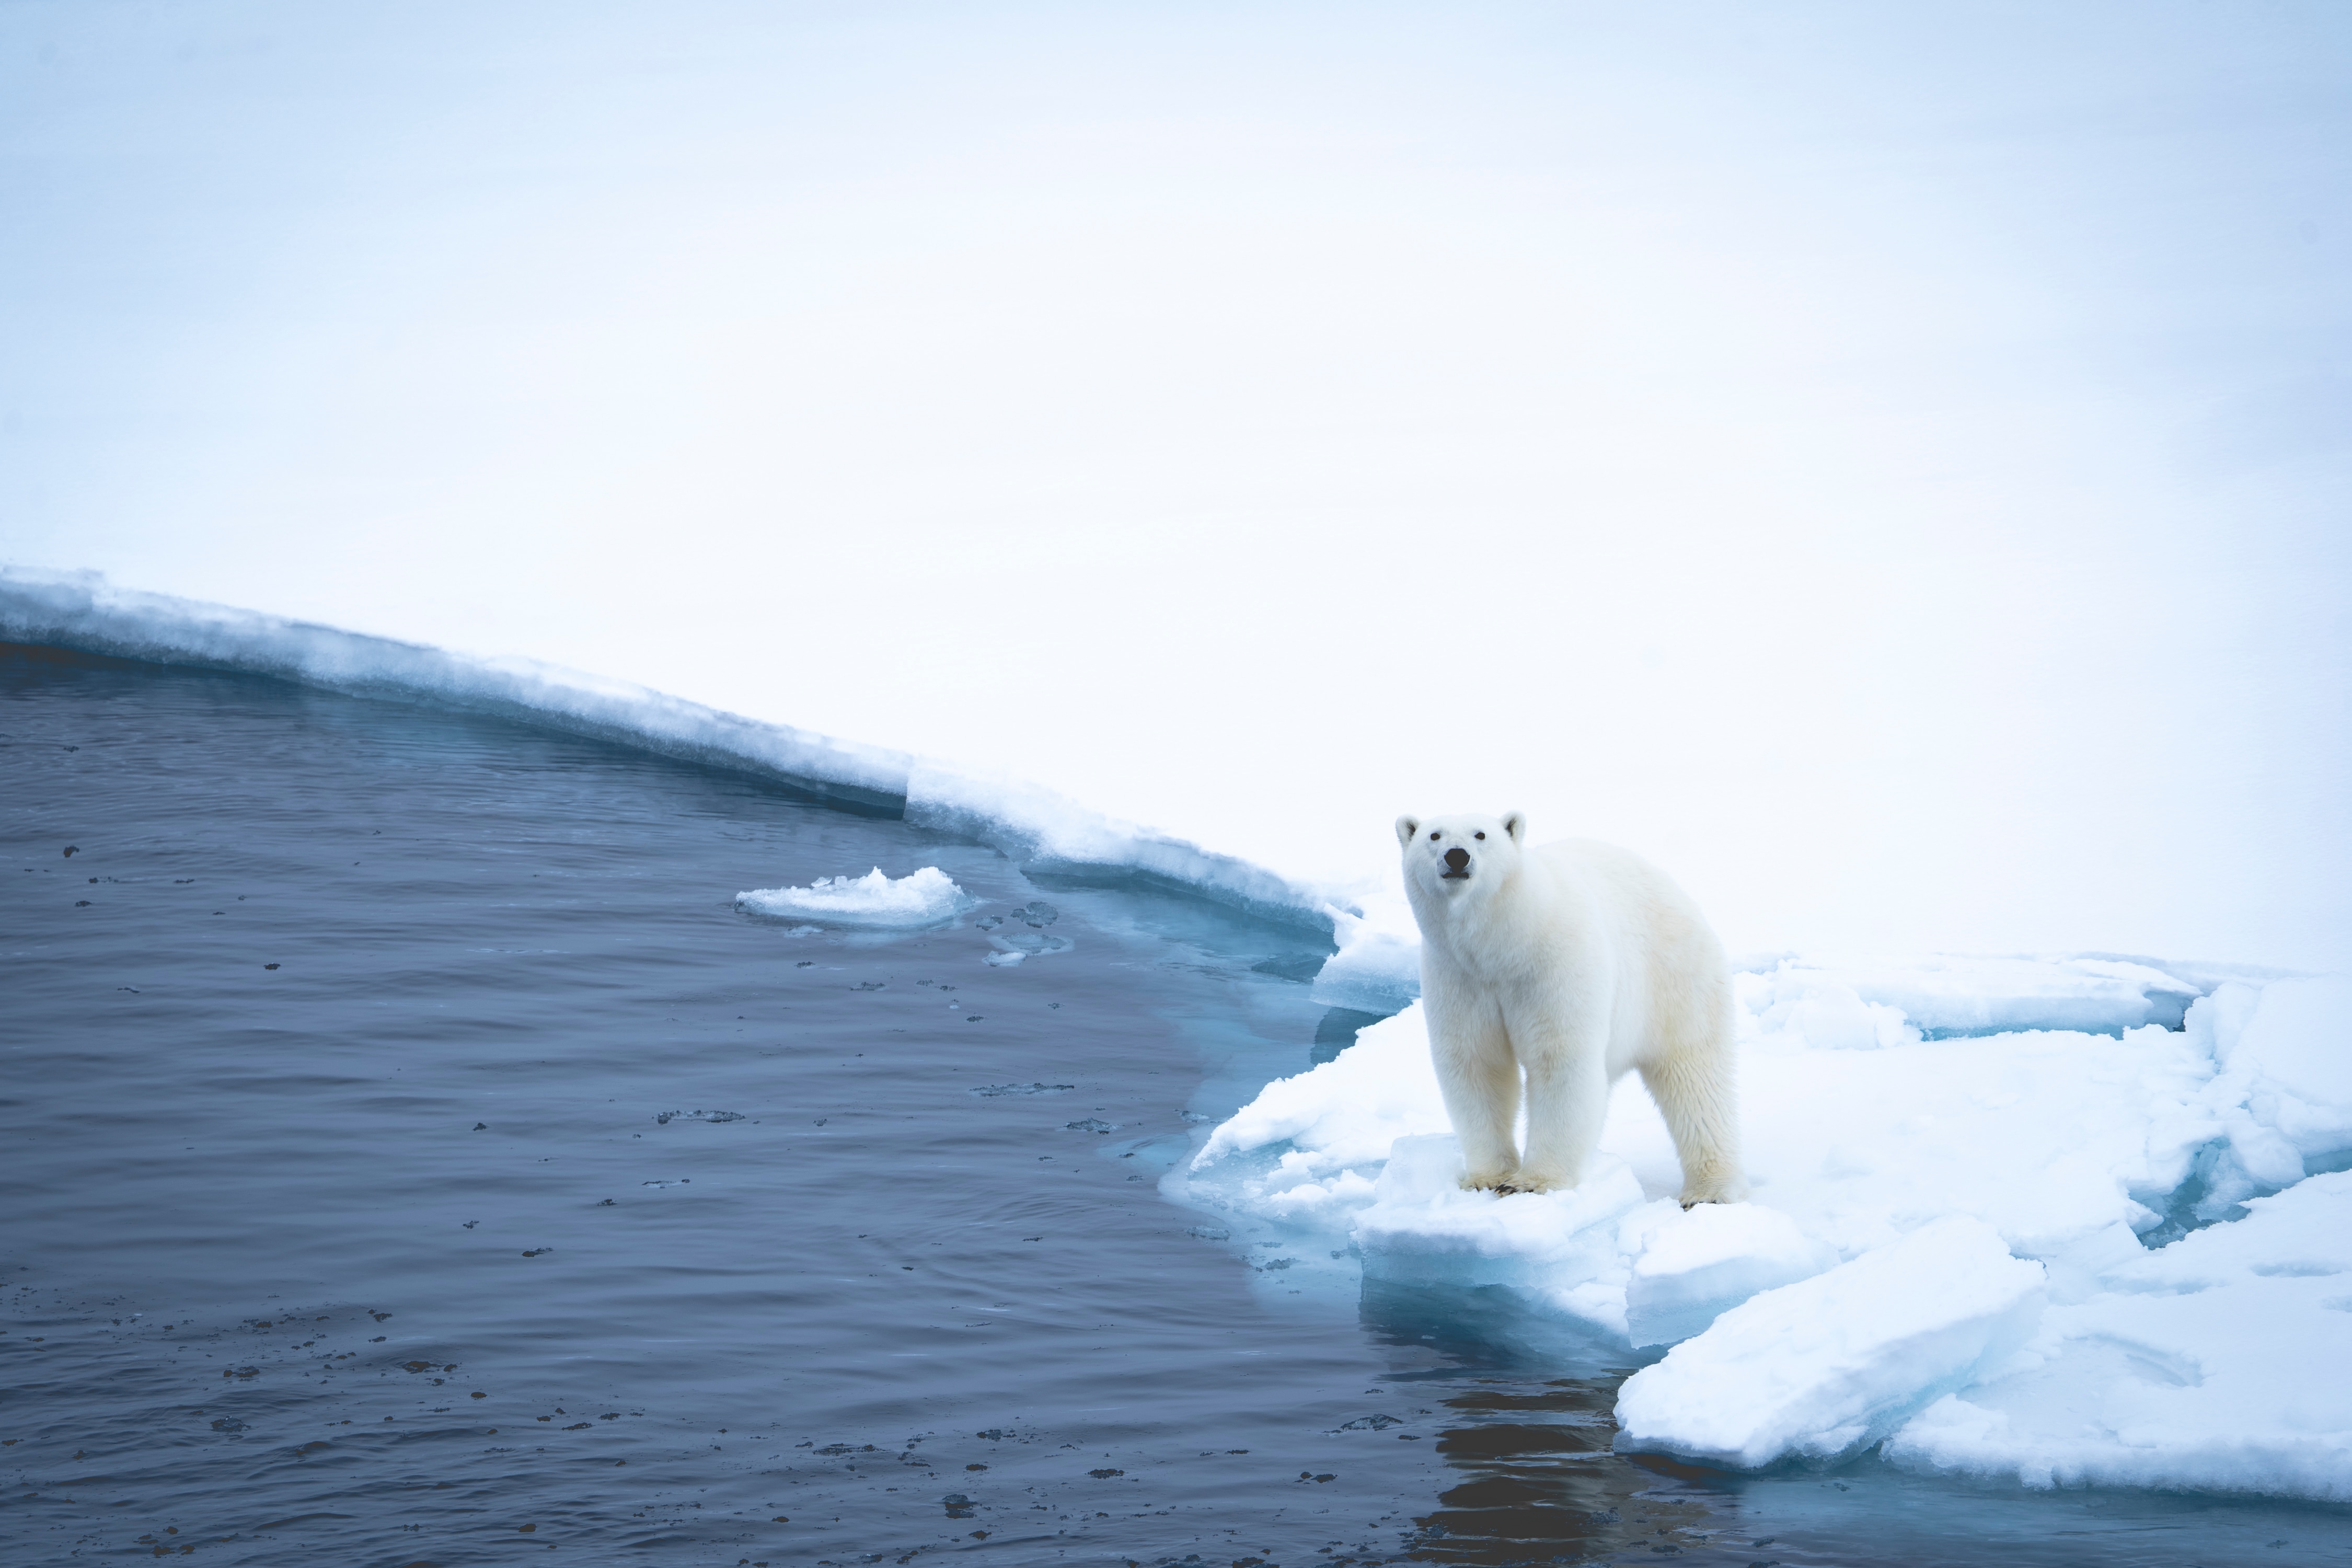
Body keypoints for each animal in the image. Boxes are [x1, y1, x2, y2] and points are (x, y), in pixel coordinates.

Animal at [1396, 810, 1745, 1206]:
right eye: (1434, 836)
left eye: (1480, 834)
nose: (1457, 856)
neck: (1504, 944)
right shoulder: (1459, 977)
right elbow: (1476, 1062)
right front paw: (1486, 1178)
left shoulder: (1553, 964)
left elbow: (1559, 1059)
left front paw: (1531, 1183)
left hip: (1675, 980)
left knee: (1695, 1079)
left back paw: (1709, 1191)